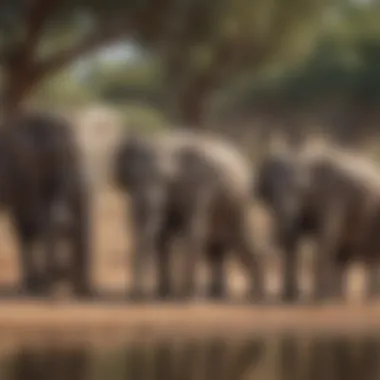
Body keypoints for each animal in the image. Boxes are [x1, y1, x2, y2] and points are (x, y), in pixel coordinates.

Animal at [113, 129, 264, 302]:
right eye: (131, 179)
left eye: (165, 177)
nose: (136, 296)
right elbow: (163, 237)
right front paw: (163, 293)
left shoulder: (201, 186)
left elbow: (193, 232)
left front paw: (183, 296)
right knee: (227, 246)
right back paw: (222, 295)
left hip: (241, 203)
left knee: (238, 241)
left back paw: (253, 296)